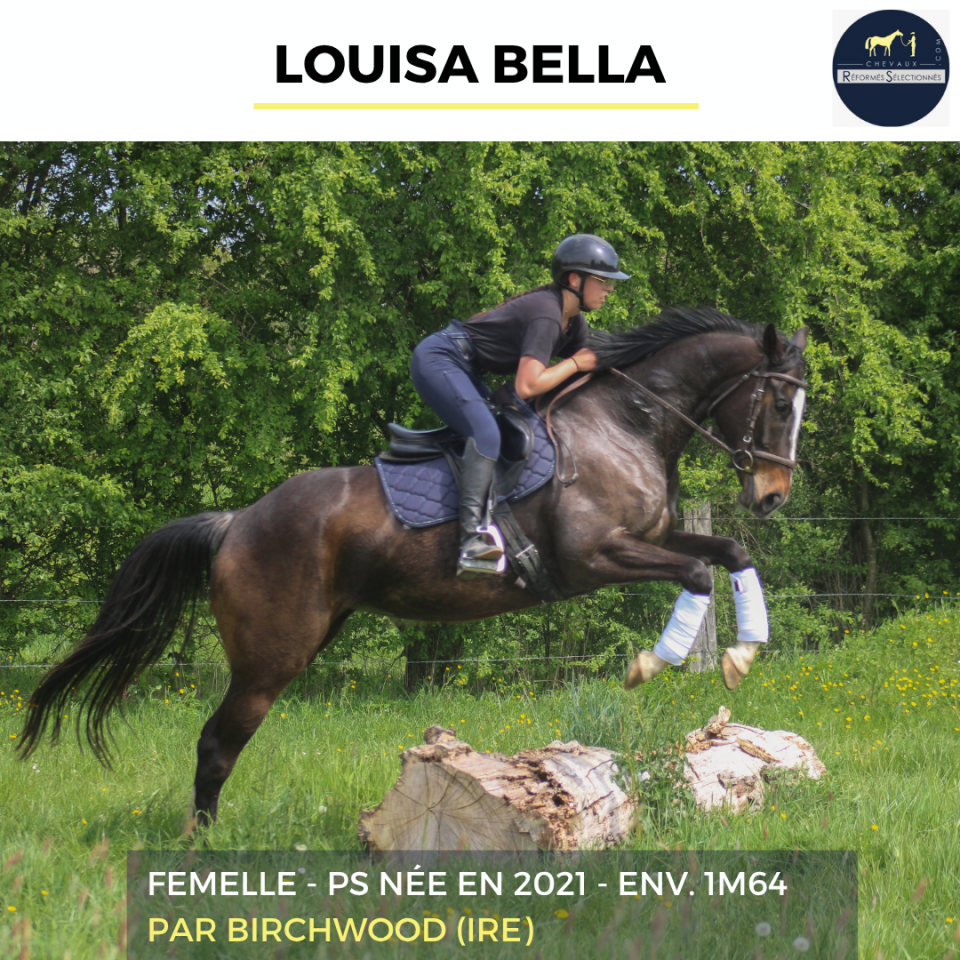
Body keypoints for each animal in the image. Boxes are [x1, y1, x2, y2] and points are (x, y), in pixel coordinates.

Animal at [18, 307, 808, 826]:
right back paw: (201, 849)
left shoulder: (659, 537)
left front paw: (741, 655)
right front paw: (653, 663)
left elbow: (727, 556)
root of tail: (237, 521)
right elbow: (696, 576)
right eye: (776, 401)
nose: (773, 495)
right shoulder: (592, 558)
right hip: (271, 656)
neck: (625, 424)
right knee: (218, 743)